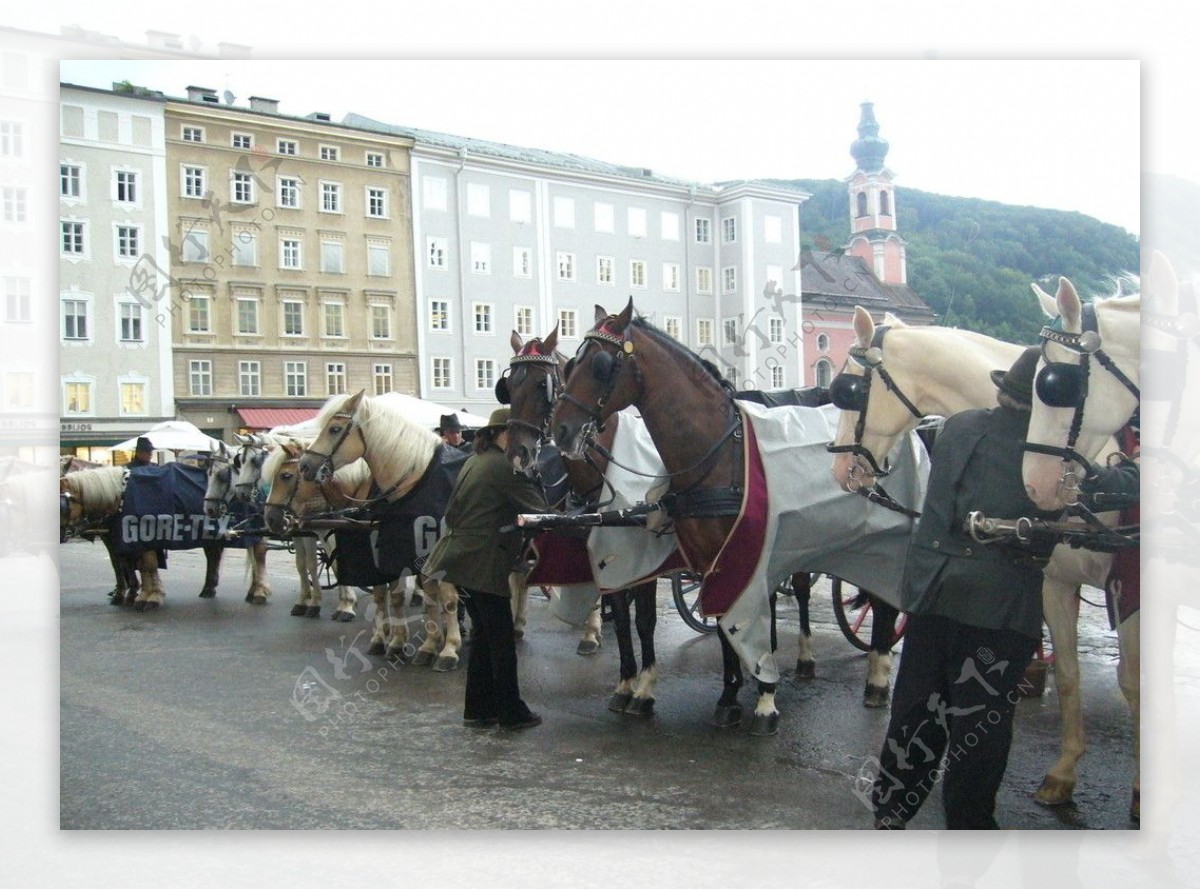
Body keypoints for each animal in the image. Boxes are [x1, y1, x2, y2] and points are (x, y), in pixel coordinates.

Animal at [297, 393, 465, 671]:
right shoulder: (410, 553)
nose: (305, 466)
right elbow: (423, 597)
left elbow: (448, 598)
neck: (416, 478)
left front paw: (449, 649)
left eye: (335, 429)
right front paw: (426, 645)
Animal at [501, 328, 662, 719]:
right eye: (508, 386)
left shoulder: (644, 561)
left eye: (541, 386)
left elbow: (643, 619)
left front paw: (645, 688)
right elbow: (621, 615)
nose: (517, 454)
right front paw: (625, 684)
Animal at [549, 303, 921, 734]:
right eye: (571, 363)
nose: (560, 429)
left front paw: (764, 699)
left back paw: (877, 675)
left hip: (882, 539)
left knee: (883, 600)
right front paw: (727, 696)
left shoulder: (745, 552)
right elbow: (694, 620)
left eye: (600, 365)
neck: (719, 456)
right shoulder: (699, 558)